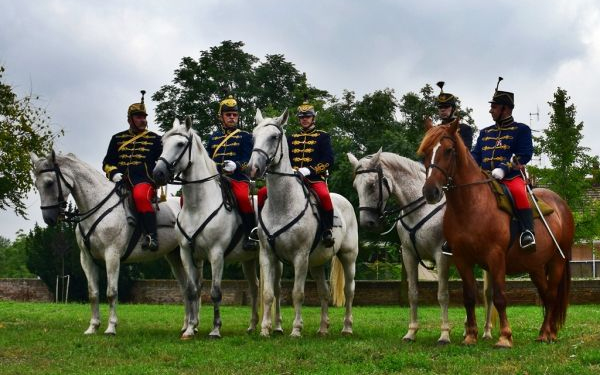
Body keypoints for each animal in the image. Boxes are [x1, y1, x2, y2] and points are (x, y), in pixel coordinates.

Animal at [29, 151, 192, 336]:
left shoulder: (112, 256)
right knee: (186, 289)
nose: (49, 219)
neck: (98, 207)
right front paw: (93, 327)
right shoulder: (86, 259)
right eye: (36, 184)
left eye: (49, 183)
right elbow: (93, 293)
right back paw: (187, 325)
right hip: (174, 257)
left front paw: (111, 327)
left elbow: (111, 292)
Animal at [154, 119, 268, 340]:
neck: (198, 206)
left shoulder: (216, 254)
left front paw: (215, 329)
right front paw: (190, 329)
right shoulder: (186, 253)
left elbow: (215, 292)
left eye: (180, 144)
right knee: (254, 287)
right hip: (248, 260)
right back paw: (252, 326)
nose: (158, 173)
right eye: (162, 143)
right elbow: (192, 290)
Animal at [246, 108, 358, 338]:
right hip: (316, 262)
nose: (253, 169)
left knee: (349, 290)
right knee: (324, 292)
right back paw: (323, 328)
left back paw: (347, 327)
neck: (283, 205)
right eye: (253, 136)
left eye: (274, 136)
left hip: (348, 256)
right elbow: (268, 293)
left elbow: (298, 293)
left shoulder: (300, 257)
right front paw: (265, 329)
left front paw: (296, 329)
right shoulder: (267, 255)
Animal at [350, 150, 494, 344]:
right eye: (355, 186)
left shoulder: (441, 256)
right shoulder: (409, 256)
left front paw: (444, 334)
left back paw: (486, 331)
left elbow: (443, 295)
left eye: (372, 185)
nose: (367, 223)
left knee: (488, 293)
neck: (422, 210)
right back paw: (469, 329)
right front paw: (411, 332)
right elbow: (413, 293)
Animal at [420, 119, 576, 348]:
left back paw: (547, 333)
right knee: (546, 295)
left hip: (557, 260)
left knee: (552, 294)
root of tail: (561, 204)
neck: (470, 205)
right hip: (536, 266)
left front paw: (505, 337)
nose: (430, 192)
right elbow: (469, 296)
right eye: (425, 152)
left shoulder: (496, 257)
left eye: (448, 150)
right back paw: (546, 333)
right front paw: (470, 336)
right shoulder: (462, 258)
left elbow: (500, 297)